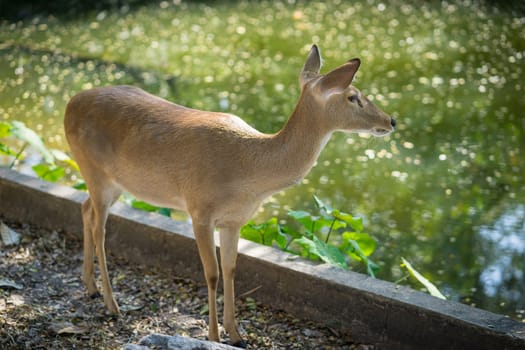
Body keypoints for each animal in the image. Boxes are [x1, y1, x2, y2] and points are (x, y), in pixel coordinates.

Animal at [63, 45, 396, 348]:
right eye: (353, 96)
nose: (391, 120)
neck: (249, 170)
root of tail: (70, 103)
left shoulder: (235, 220)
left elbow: (231, 268)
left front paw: (236, 334)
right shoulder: (199, 209)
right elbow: (211, 274)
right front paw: (212, 336)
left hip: (112, 182)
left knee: (85, 209)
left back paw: (90, 286)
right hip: (93, 168)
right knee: (100, 228)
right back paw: (111, 304)